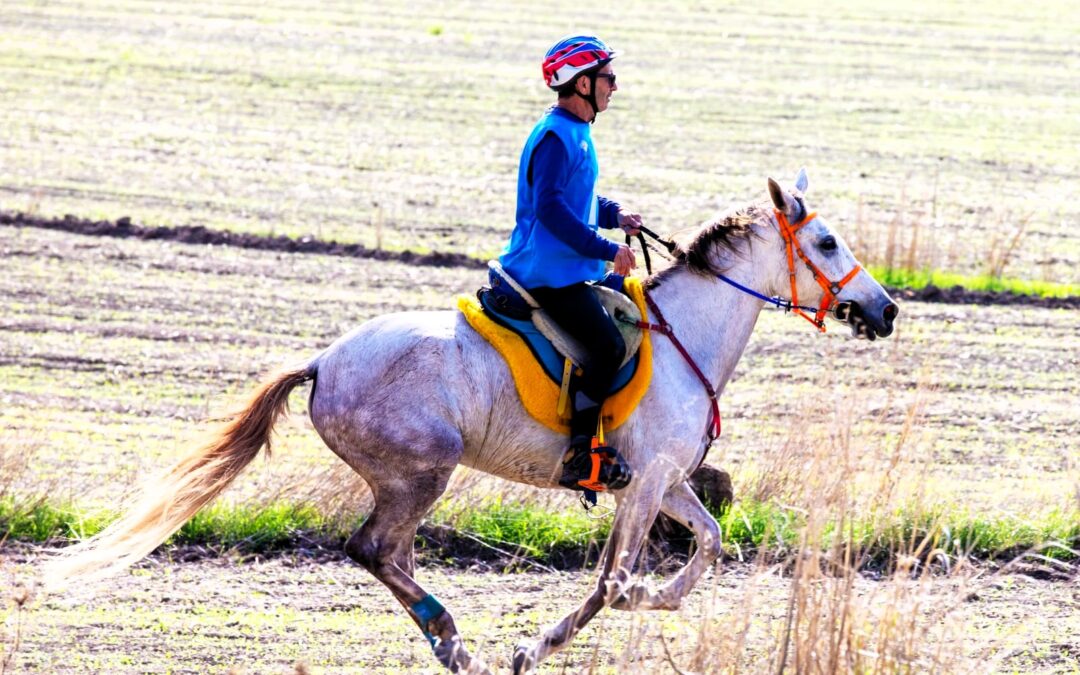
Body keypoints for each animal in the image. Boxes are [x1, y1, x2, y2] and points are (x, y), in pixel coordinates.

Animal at [44, 169, 894, 673]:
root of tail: (323, 362)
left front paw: (645, 602)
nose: (885, 309)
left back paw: (446, 638)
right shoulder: (648, 480)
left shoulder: (661, 480)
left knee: (384, 553)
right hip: (422, 469)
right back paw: (452, 637)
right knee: (373, 547)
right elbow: (614, 581)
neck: (688, 333)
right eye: (826, 241)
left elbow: (707, 544)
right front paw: (536, 643)